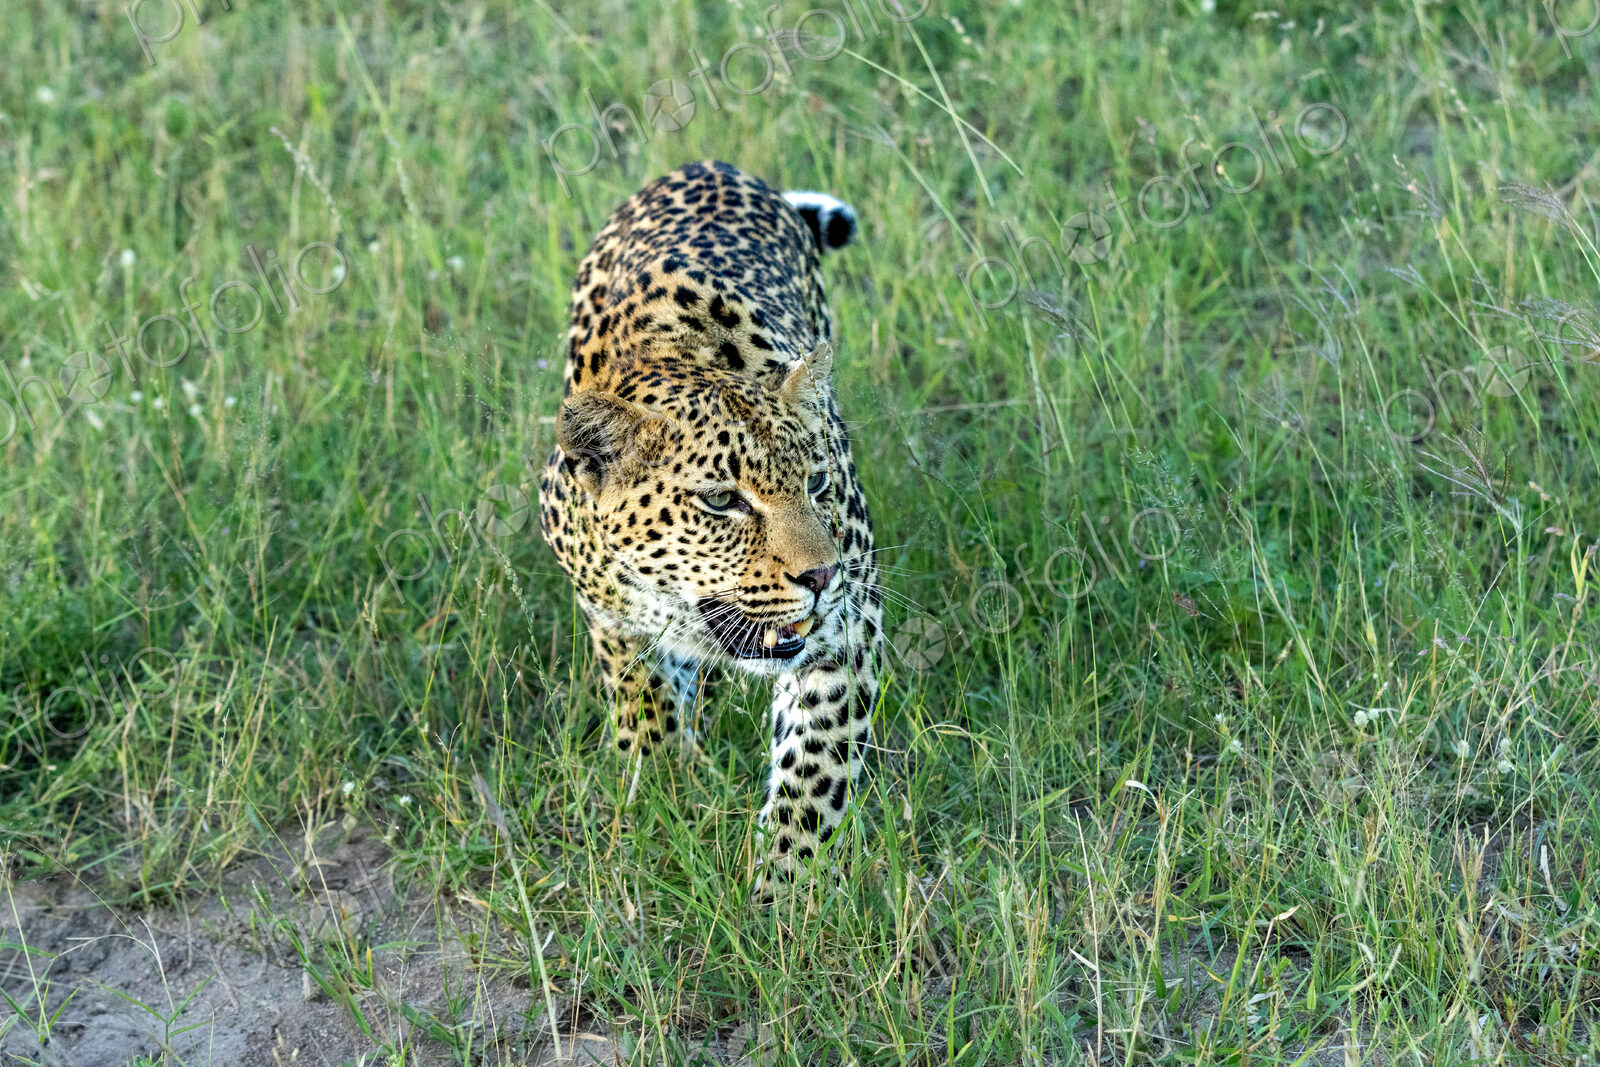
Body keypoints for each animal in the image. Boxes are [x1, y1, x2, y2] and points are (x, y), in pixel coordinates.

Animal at [538, 160, 883, 895]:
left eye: (816, 483)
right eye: (723, 501)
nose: (820, 575)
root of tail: (707, 165)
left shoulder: (848, 624)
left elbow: (814, 768)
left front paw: (785, 893)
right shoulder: (607, 610)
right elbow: (641, 701)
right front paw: (664, 800)